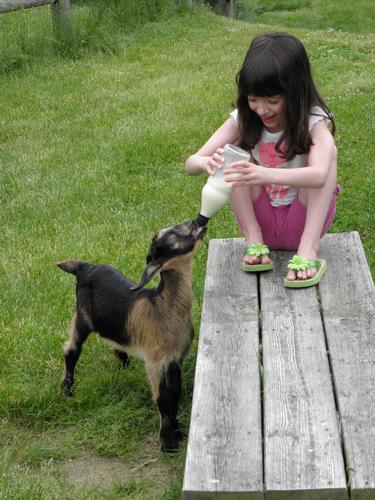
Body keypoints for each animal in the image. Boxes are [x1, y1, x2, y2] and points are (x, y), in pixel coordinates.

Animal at [57, 219, 207, 454]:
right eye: (172, 240)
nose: (195, 222)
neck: (161, 307)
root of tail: (86, 267)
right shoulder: (155, 360)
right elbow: (164, 398)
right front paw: (168, 443)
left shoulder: (174, 359)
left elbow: (175, 393)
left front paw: (178, 434)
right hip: (82, 317)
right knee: (71, 350)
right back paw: (67, 390)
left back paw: (123, 367)